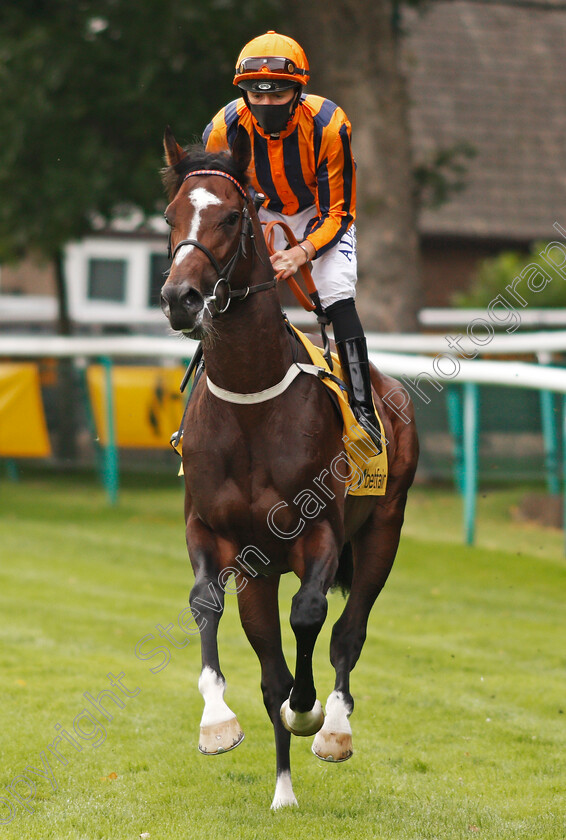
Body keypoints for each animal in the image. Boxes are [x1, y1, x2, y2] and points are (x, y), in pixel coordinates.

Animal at [162, 126, 420, 808]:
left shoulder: (319, 531)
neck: (252, 401)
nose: (180, 298)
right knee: (272, 668)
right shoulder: (214, 532)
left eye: (231, 216)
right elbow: (205, 602)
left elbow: (310, 614)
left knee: (348, 631)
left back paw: (332, 728)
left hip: (383, 529)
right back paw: (283, 791)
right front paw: (216, 722)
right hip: (260, 571)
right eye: (169, 216)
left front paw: (311, 714)